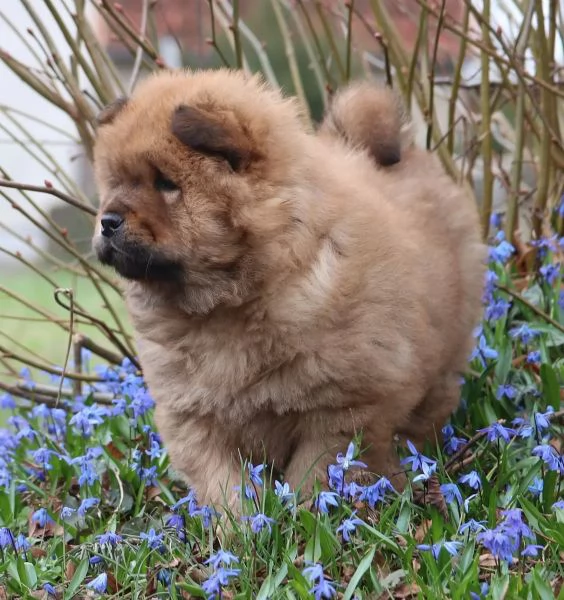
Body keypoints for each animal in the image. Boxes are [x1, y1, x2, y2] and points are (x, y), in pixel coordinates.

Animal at [92, 68, 484, 508]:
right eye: (115, 182)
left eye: (165, 183)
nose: (107, 221)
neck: (227, 302)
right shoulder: (193, 412)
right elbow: (221, 481)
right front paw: (240, 523)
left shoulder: (341, 403)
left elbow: (316, 470)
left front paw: (304, 516)